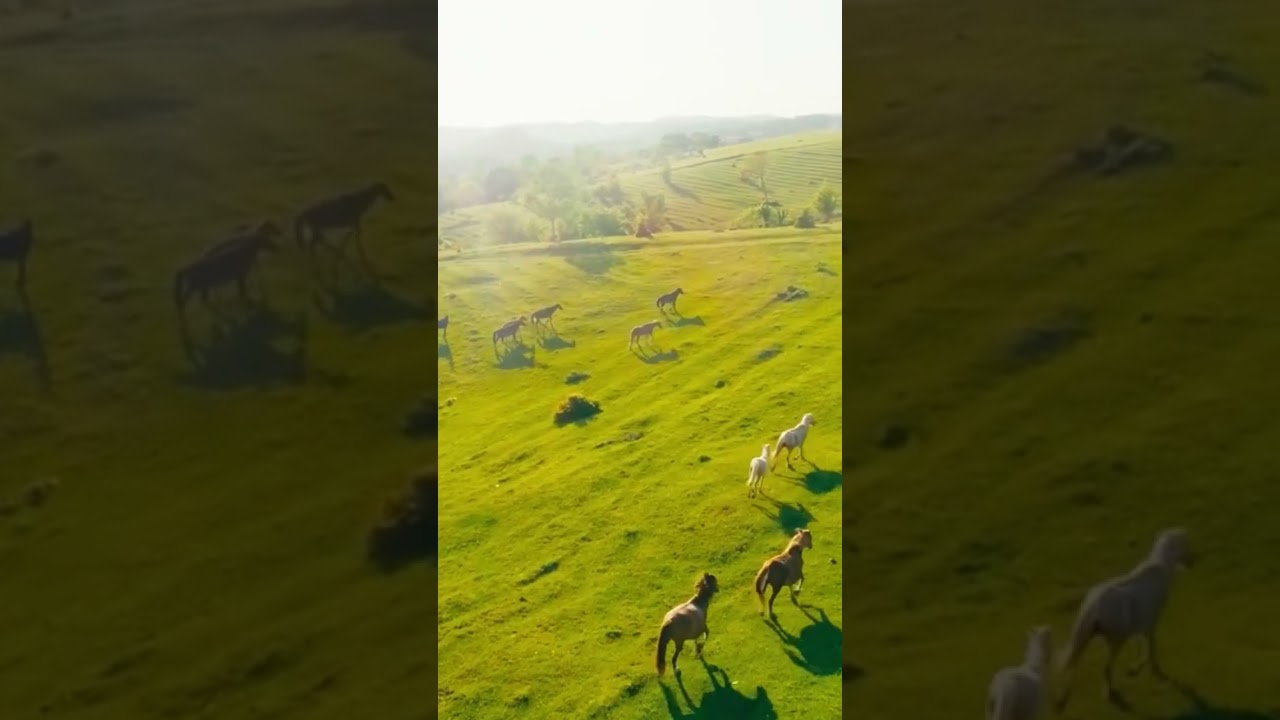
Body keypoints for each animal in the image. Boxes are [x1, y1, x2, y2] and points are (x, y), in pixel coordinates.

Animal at [1056, 528, 1194, 712]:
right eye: (1186, 544)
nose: (1193, 561)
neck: (1162, 569)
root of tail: (1094, 606)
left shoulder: (1141, 623)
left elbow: (1143, 643)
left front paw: (1137, 668)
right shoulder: (1150, 621)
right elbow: (1150, 646)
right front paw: (1142, 669)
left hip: (1088, 637)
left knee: (1073, 663)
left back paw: (1062, 701)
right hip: (1115, 640)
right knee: (1105, 668)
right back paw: (1110, 694)